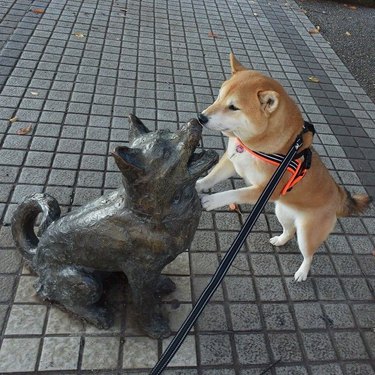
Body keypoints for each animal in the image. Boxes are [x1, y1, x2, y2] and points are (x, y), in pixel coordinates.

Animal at [195, 53, 372, 282]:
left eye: (233, 107)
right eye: (218, 97)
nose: (201, 117)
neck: (255, 146)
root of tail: (338, 196)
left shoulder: (264, 190)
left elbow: (234, 193)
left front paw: (212, 200)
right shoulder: (232, 162)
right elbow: (210, 178)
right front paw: (196, 183)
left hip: (307, 233)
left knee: (309, 254)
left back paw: (302, 273)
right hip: (282, 211)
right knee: (289, 231)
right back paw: (280, 240)